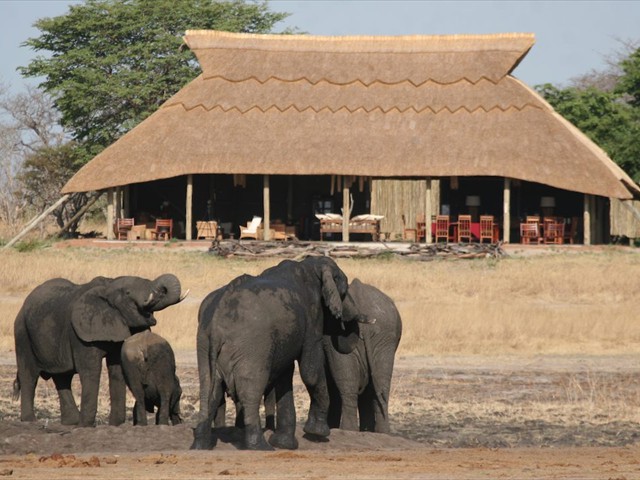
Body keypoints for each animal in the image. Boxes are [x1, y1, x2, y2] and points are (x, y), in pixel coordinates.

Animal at [12, 274, 184, 428]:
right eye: (127, 293)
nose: (160, 291)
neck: (108, 286)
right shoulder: (80, 331)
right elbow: (90, 370)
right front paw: (85, 427)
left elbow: (117, 370)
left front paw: (115, 425)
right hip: (22, 333)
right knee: (29, 376)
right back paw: (30, 421)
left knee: (62, 377)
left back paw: (71, 422)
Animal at [191, 256, 370, 452]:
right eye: (344, 291)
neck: (310, 264)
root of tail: (216, 321)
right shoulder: (313, 316)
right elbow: (311, 372)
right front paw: (317, 434)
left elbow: (285, 376)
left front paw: (285, 444)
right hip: (252, 345)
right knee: (250, 390)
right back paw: (260, 447)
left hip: (204, 342)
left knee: (209, 389)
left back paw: (200, 446)